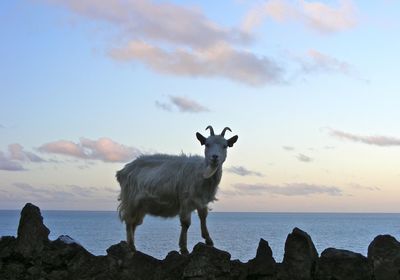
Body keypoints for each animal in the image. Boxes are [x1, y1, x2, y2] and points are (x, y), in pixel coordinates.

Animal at [117, 126, 239, 255]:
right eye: (207, 144)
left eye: (225, 145)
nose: (214, 157)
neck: (200, 171)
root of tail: (122, 171)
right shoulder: (185, 199)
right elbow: (186, 223)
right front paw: (184, 248)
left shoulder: (202, 200)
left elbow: (203, 217)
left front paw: (208, 240)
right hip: (130, 200)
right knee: (129, 221)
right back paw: (131, 245)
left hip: (140, 206)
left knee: (134, 223)